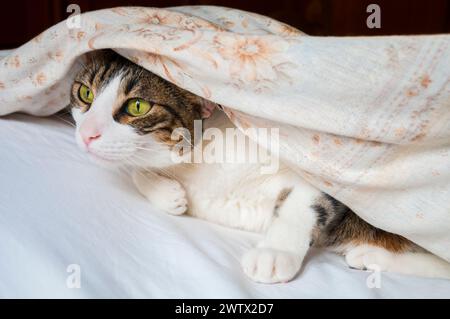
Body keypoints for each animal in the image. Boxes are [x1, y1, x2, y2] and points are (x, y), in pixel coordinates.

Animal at [69, 48, 450, 284]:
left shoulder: (317, 166)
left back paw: (371, 254)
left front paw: (274, 252)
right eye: (84, 94)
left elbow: (302, 204)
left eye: (136, 107)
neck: (201, 161)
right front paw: (168, 193)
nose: (86, 135)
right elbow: (137, 169)